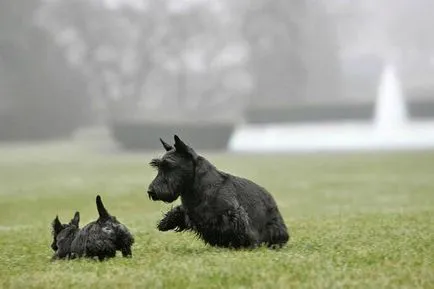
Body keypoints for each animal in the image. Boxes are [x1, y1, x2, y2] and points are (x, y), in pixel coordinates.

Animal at [147, 135, 290, 248]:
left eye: (169, 166)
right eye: (158, 167)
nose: (151, 191)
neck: (195, 186)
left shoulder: (231, 215)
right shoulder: (191, 212)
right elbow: (178, 211)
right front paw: (165, 223)